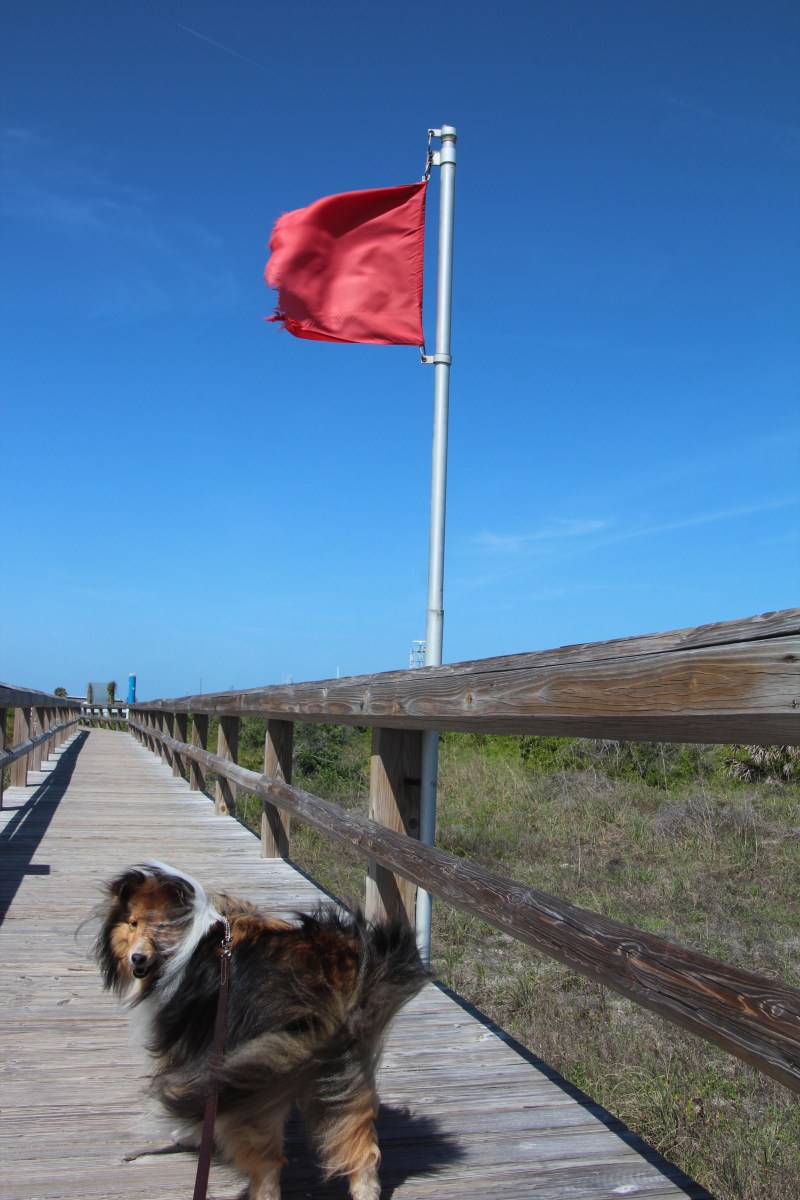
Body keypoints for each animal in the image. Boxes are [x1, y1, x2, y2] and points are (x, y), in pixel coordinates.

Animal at [91, 861, 428, 1200]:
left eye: (160, 926)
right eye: (133, 923)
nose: (137, 959)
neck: (187, 939)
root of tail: (334, 982)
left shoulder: (189, 1042)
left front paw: (189, 1135)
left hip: (260, 1076)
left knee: (267, 1162)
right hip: (337, 1070)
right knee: (360, 1145)